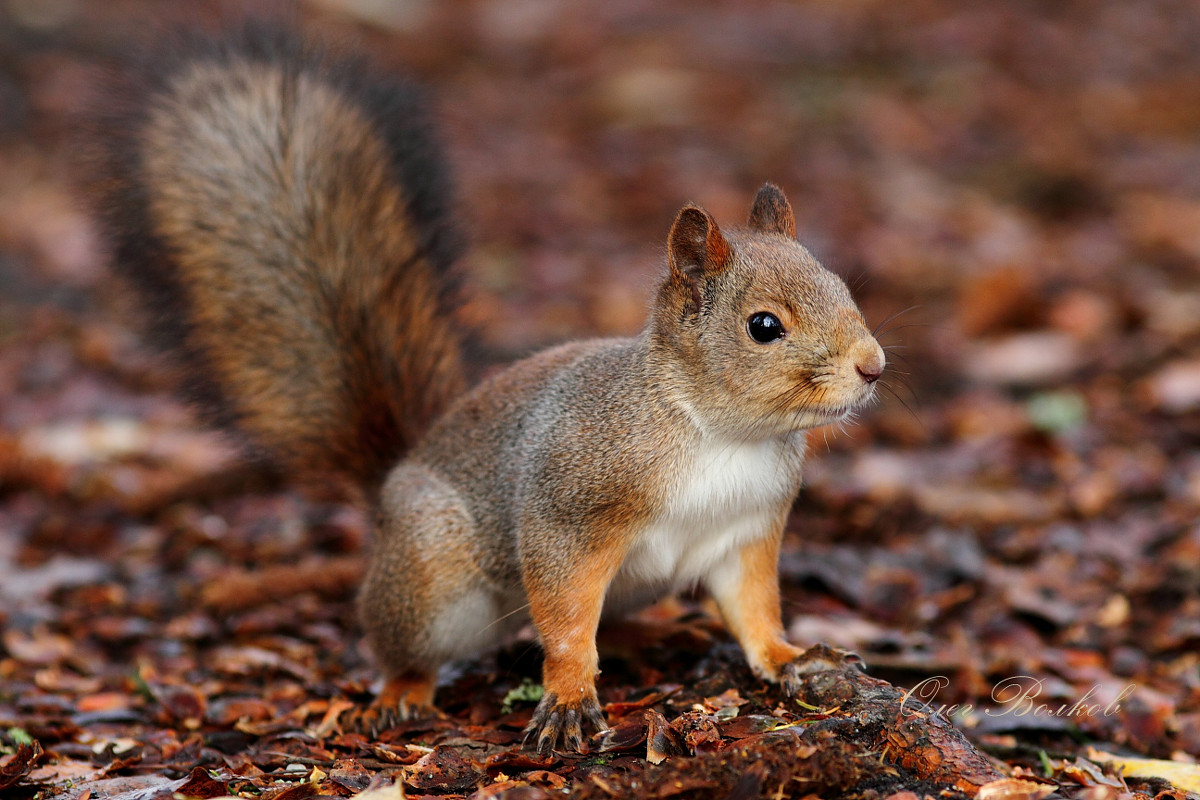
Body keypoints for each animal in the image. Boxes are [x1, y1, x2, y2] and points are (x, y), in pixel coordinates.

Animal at [84, 21, 888, 753]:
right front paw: (569, 698)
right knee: (409, 644)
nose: (873, 365)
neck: (720, 434)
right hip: (430, 573)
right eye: (763, 326)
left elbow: (755, 610)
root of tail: (390, 488)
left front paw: (794, 659)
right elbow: (564, 618)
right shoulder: (568, 508)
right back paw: (402, 692)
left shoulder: (747, 531)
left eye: (843, 287)